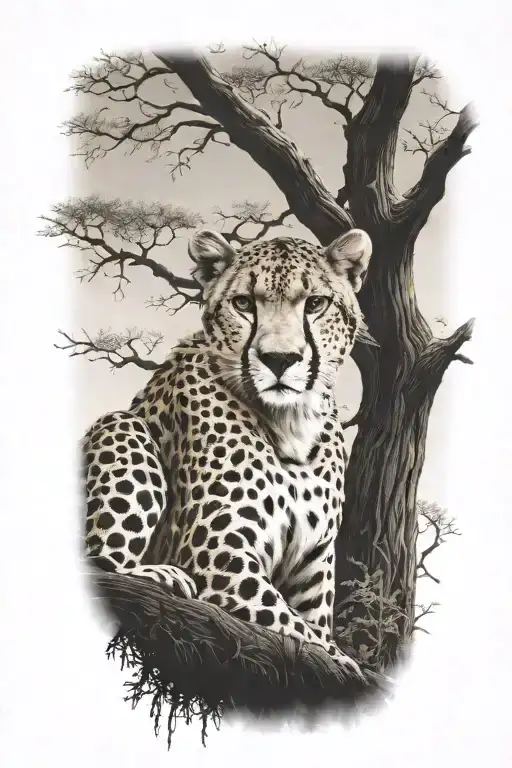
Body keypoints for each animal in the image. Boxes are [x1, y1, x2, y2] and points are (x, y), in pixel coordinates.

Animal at [83, 226, 372, 676]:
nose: (279, 359)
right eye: (244, 304)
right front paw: (351, 668)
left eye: (315, 304)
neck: (293, 422)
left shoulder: (312, 567)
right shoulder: (220, 556)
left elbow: (313, 629)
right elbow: (303, 635)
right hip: (121, 425)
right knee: (100, 565)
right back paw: (164, 576)